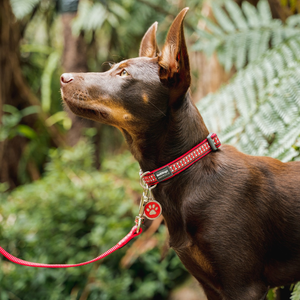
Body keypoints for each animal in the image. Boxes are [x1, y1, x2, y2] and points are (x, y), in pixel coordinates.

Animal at [59, 8, 300, 298]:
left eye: (124, 73)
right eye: (111, 68)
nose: (63, 78)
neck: (187, 170)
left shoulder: (244, 285)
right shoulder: (210, 285)